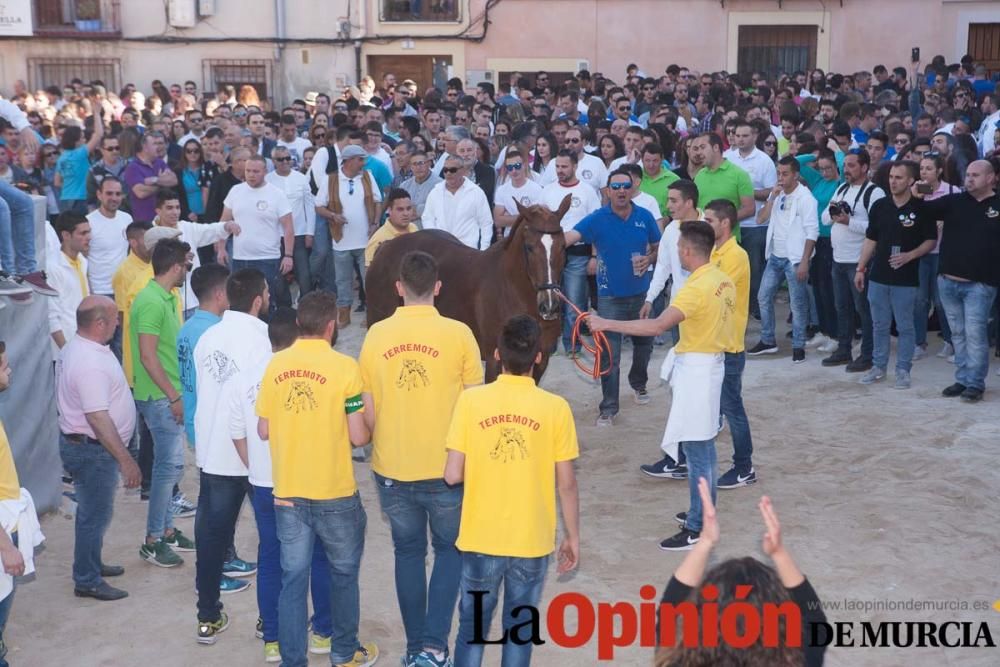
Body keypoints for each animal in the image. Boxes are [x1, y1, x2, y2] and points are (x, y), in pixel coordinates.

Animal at [366, 194, 572, 380]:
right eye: (529, 247)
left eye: (563, 246)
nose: (549, 306)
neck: (513, 290)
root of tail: (384, 247)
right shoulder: (495, 360)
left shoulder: (540, 359)